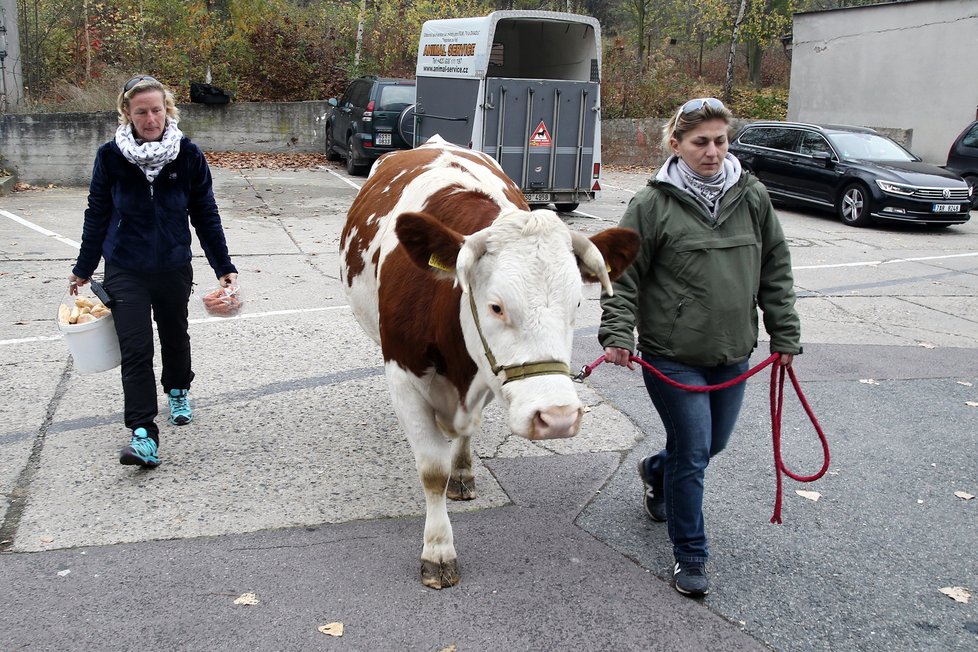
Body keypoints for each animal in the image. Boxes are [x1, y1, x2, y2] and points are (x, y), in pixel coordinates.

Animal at [340, 135, 636, 588]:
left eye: (577, 304)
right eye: (496, 306)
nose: (558, 418)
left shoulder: (489, 377)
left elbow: (466, 434)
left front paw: (460, 473)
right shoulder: (403, 375)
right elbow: (432, 470)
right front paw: (438, 550)